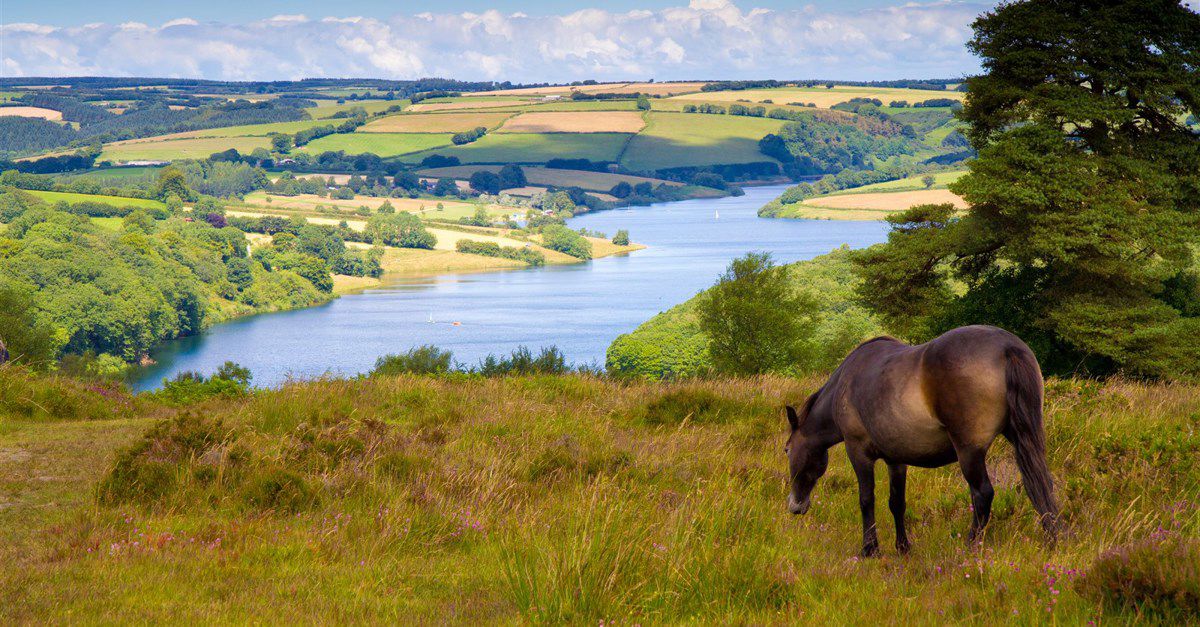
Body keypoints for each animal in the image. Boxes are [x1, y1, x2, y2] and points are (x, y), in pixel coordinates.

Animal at [787, 324, 1060, 554]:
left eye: (787, 449)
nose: (795, 506)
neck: (845, 384)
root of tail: (1007, 347)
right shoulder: (896, 459)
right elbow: (897, 502)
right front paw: (902, 547)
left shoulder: (858, 453)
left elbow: (866, 500)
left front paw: (870, 549)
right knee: (1041, 484)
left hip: (969, 452)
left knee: (982, 494)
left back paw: (970, 546)